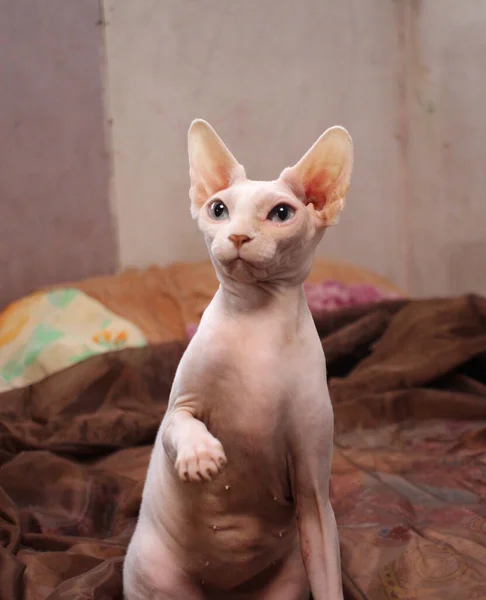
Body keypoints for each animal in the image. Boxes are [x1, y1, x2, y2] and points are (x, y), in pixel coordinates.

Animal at [123, 119, 354, 596]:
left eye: (281, 214)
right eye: (218, 209)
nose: (238, 236)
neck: (258, 323)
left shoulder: (313, 486)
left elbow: (327, 572)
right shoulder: (180, 406)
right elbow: (179, 424)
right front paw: (200, 454)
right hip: (152, 575)